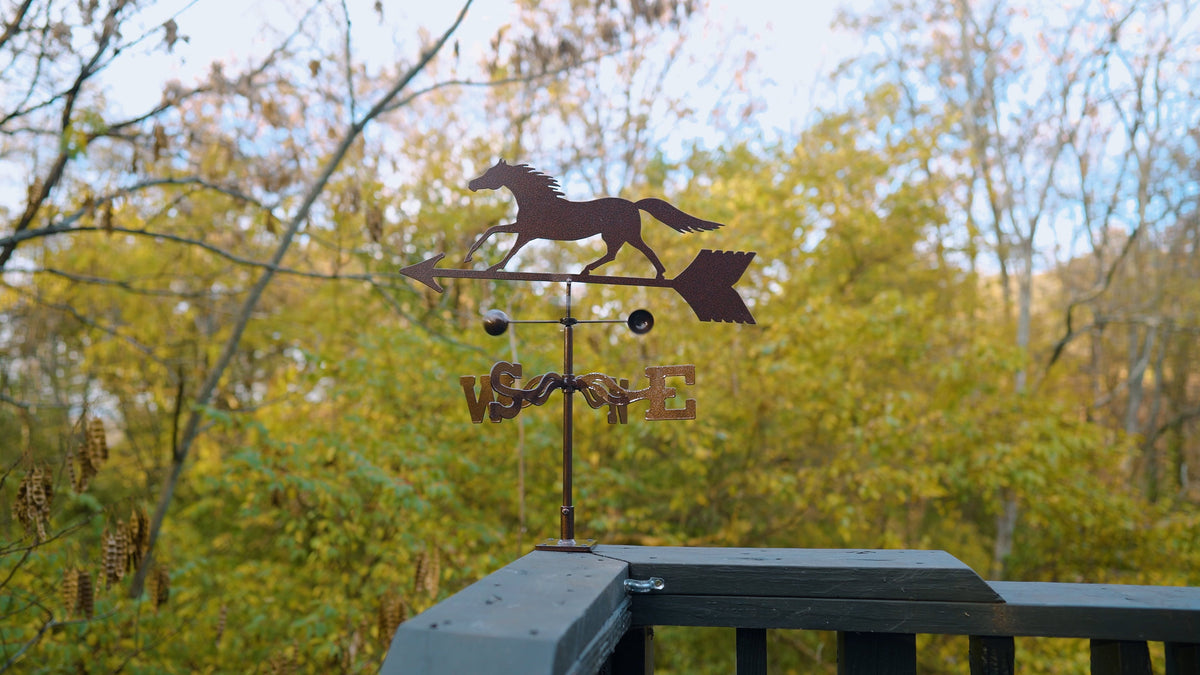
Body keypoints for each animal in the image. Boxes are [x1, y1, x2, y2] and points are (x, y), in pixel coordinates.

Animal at [463, 159, 723, 279]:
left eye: (491, 174)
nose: (472, 184)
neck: (538, 200)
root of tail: (634, 205)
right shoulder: (525, 231)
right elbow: (496, 233)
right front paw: (476, 260)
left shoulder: (527, 231)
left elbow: (503, 239)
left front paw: (489, 266)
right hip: (621, 235)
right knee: (619, 253)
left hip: (622, 234)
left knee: (627, 252)